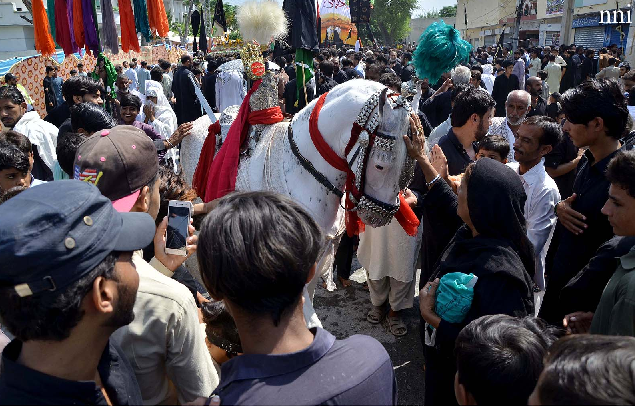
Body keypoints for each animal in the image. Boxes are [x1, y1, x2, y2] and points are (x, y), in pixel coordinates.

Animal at [181, 77, 414, 328]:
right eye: (380, 165)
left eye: (408, 162)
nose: (380, 215)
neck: (305, 170)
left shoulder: (320, 252)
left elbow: (308, 297)